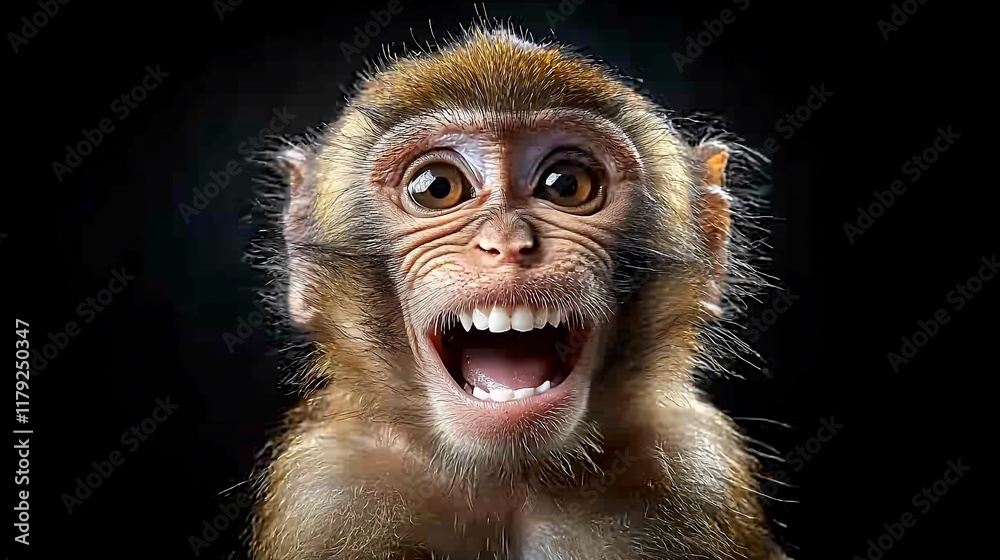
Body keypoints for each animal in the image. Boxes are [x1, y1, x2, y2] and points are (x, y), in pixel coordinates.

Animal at [250, 24, 787, 560]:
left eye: (567, 184)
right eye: (437, 187)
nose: (507, 244)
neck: (514, 484)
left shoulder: (698, 471)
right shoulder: (325, 492)